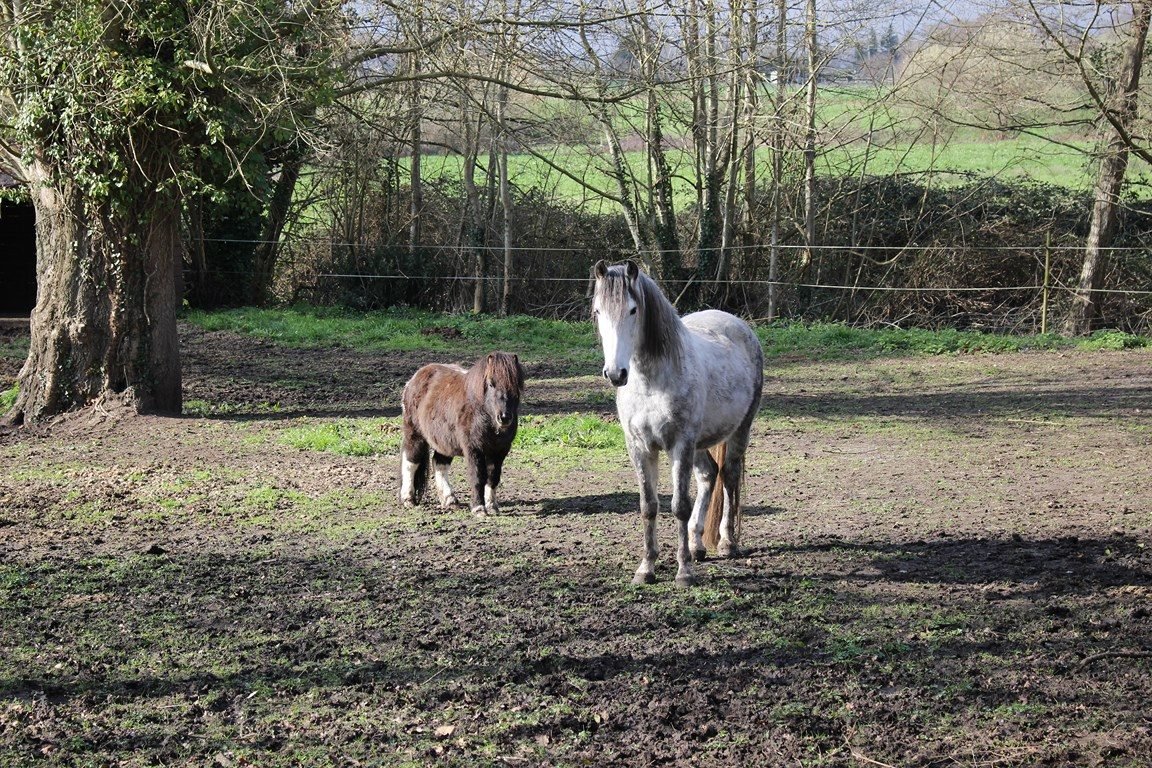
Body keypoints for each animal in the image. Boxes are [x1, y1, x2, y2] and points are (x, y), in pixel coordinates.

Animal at [399, 352, 526, 516]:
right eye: (491, 383)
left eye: (515, 384)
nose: (504, 417)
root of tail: (414, 379)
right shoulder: (473, 449)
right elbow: (477, 477)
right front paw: (479, 508)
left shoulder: (500, 450)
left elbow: (493, 477)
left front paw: (492, 506)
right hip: (415, 435)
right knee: (410, 462)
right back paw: (408, 499)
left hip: (444, 441)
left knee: (439, 464)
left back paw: (449, 500)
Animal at [591, 259, 764, 586]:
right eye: (597, 311)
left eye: (633, 310)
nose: (616, 373)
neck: (650, 383)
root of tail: (736, 323)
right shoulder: (640, 448)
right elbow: (649, 507)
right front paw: (646, 568)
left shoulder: (679, 445)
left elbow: (679, 506)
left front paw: (684, 571)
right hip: (699, 443)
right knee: (709, 475)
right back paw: (697, 545)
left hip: (739, 431)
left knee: (729, 476)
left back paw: (727, 543)